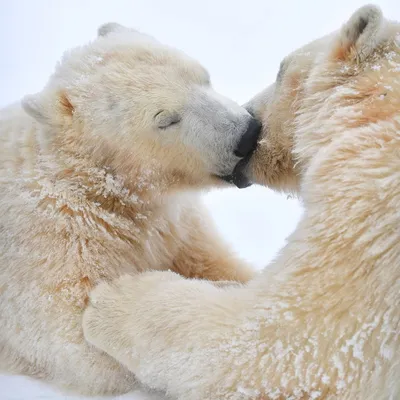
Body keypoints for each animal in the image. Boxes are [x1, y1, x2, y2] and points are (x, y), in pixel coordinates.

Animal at [0, 21, 260, 394]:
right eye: (166, 119)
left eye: (203, 77)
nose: (248, 135)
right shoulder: (53, 245)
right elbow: (82, 348)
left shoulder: (178, 224)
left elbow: (217, 262)